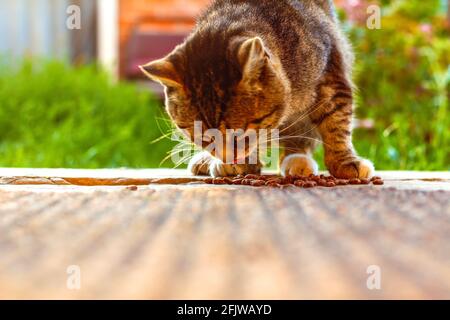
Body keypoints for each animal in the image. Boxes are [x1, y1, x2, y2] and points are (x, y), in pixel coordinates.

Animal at [142, 0, 374, 179]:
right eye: (202, 136)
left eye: (240, 133)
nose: (228, 156)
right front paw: (240, 164)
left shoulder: (330, 74)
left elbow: (336, 123)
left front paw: (343, 161)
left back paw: (297, 159)